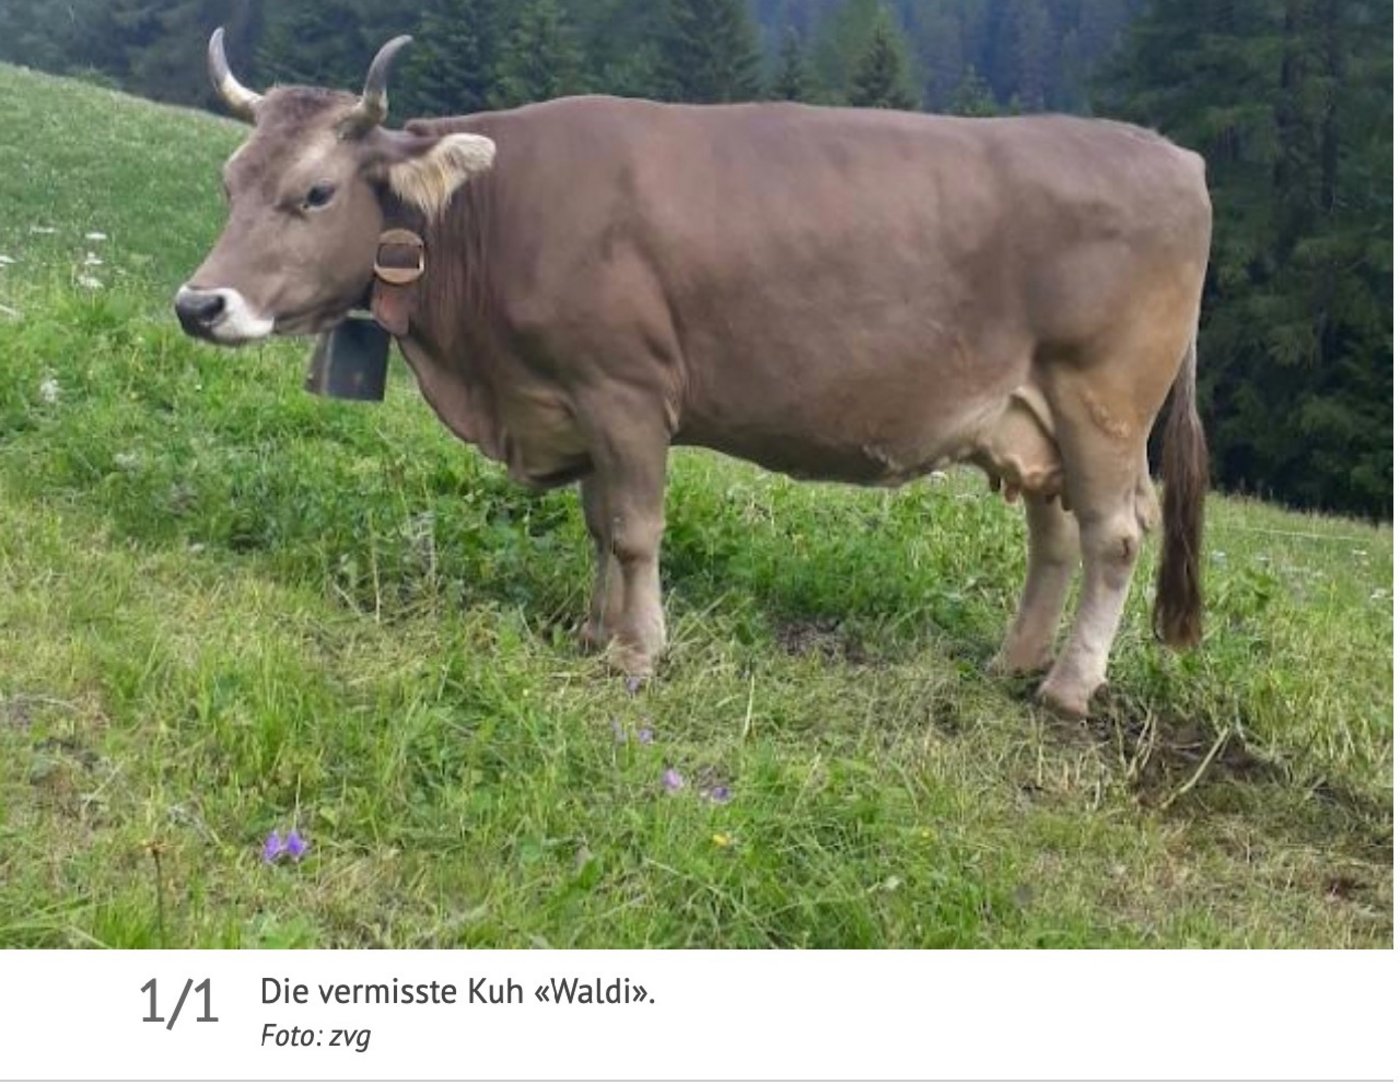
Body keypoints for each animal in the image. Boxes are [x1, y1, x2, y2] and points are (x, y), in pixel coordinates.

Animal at [176, 30, 1210, 721]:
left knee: (1116, 536)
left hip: (1101, 402)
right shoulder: (568, 397)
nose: (199, 304)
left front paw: (639, 654)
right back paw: (1014, 662)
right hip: (1034, 417)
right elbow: (599, 523)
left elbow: (635, 530)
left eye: (316, 192)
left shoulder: (625, 390)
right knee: (1056, 536)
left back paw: (1069, 688)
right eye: (229, 181)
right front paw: (596, 633)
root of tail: (1175, 155)